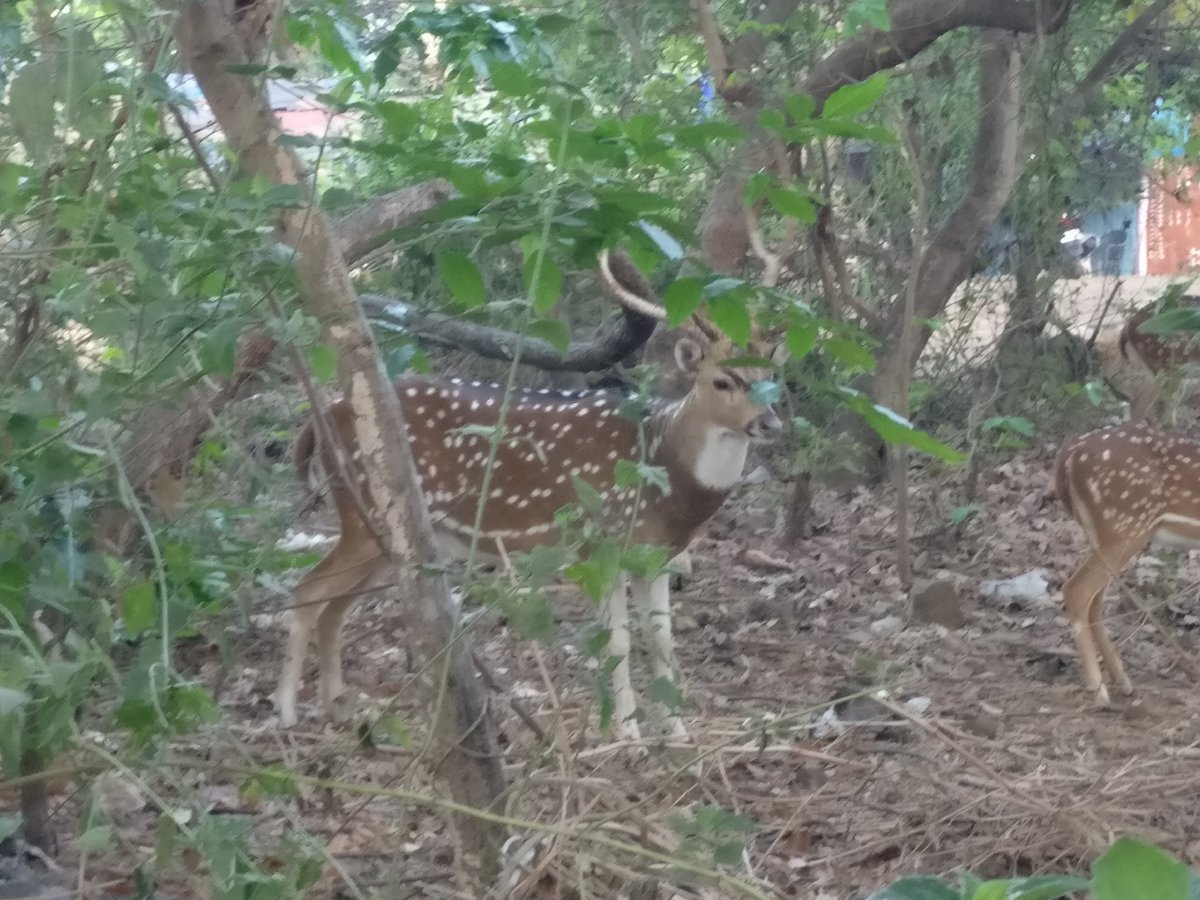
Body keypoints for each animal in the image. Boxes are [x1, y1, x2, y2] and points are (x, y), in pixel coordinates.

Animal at [274, 248, 787, 739]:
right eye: (722, 380)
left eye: (771, 376)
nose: (770, 424)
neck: (665, 472)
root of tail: (322, 418)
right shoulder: (600, 542)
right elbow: (617, 642)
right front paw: (627, 734)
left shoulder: (655, 555)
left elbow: (660, 641)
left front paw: (679, 735)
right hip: (364, 512)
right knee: (308, 589)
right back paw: (286, 713)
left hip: (385, 534)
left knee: (334, 607)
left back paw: (339, 708)